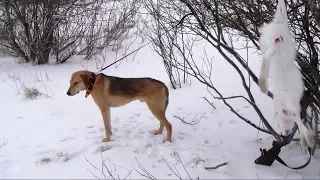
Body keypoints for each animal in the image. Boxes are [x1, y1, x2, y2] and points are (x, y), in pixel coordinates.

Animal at [258, 0, 314, 149]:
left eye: (278, 123)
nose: (284, 133)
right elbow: (297, 118)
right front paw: (306, 140)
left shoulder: (291, 103)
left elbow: (297, 119)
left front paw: (307, 140)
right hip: (276, 41)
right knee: (268, 54)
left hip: (274, 45)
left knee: (268, 55)